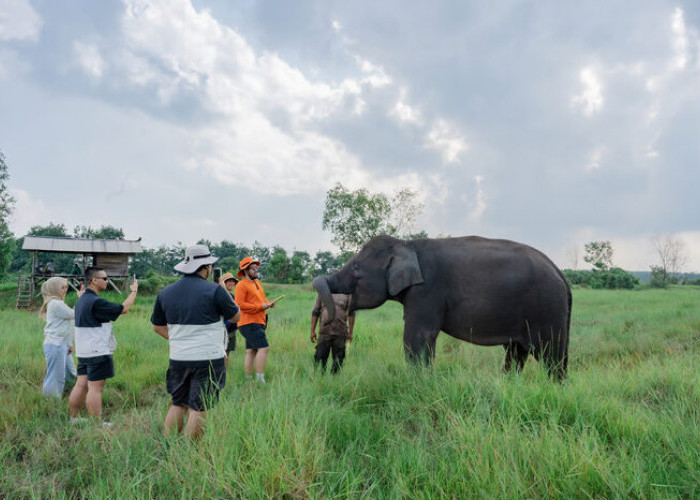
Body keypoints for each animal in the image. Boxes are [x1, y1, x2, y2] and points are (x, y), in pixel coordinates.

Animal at [314, 234, 572, 378]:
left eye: (356, 267)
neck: (407, 244)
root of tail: (561, 275)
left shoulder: (427, 289)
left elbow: (416, 336)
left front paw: (418, 382)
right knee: (517, 353)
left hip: (546, 309)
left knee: (551, 356)